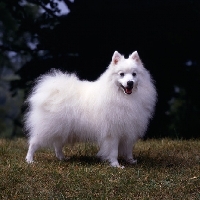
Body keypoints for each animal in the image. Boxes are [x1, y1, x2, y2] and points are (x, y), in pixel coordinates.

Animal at [24, 51, 156, 167]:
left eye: (134, 74)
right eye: (121, 74)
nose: (130, 83)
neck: (124, 97)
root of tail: (54, 90)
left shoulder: (129, 129)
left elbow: (128, 149)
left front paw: (131, 161)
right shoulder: (113, 131)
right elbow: (113, 151)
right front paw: (116, 165)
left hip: (62, 128)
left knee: (58, 144)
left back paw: (62, 158)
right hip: (48, 128)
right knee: (34, 142)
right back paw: (30, 160)